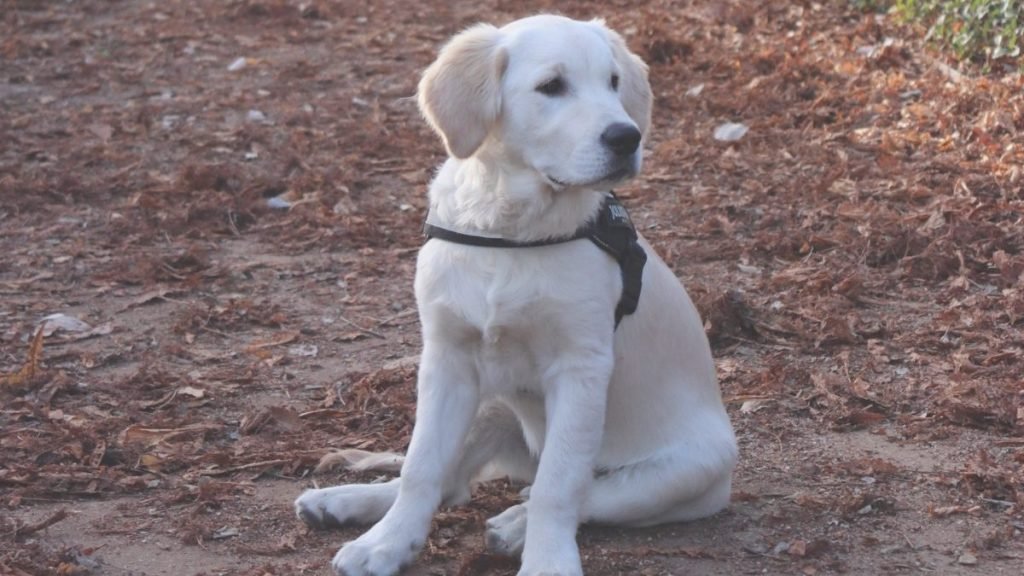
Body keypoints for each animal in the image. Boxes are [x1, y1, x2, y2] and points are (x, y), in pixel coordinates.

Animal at [296, 14, 737, 573]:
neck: (510, 230)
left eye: (614, 83)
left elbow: (560, 486)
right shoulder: (447, 358)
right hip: (491, 398)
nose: (627, 136)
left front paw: (547, 560)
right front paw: (388, 543)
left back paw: (513, 526)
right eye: (552, 86)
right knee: (450, 482)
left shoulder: (580, 369)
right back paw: (346, 503)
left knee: (585, 494)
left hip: (689, 470)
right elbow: (421, 465)